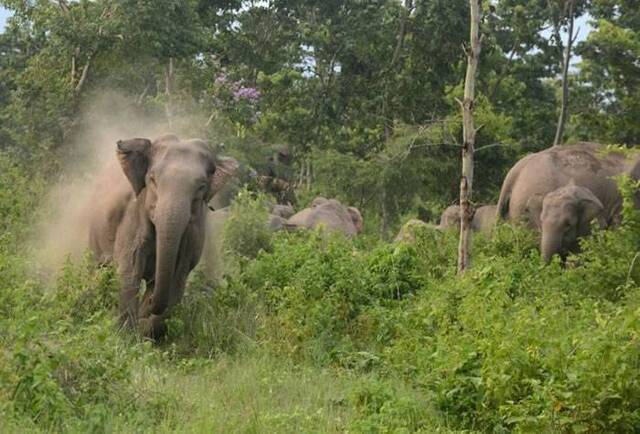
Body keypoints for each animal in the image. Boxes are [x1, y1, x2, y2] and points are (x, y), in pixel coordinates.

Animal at [89, 134, 239, 338]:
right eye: (152, 180)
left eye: (201, 187)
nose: (150, 303)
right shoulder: (133, 216)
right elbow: (129, 269)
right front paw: (126, 335)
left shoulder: (194, 233)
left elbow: (178, 277)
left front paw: (144, 329)